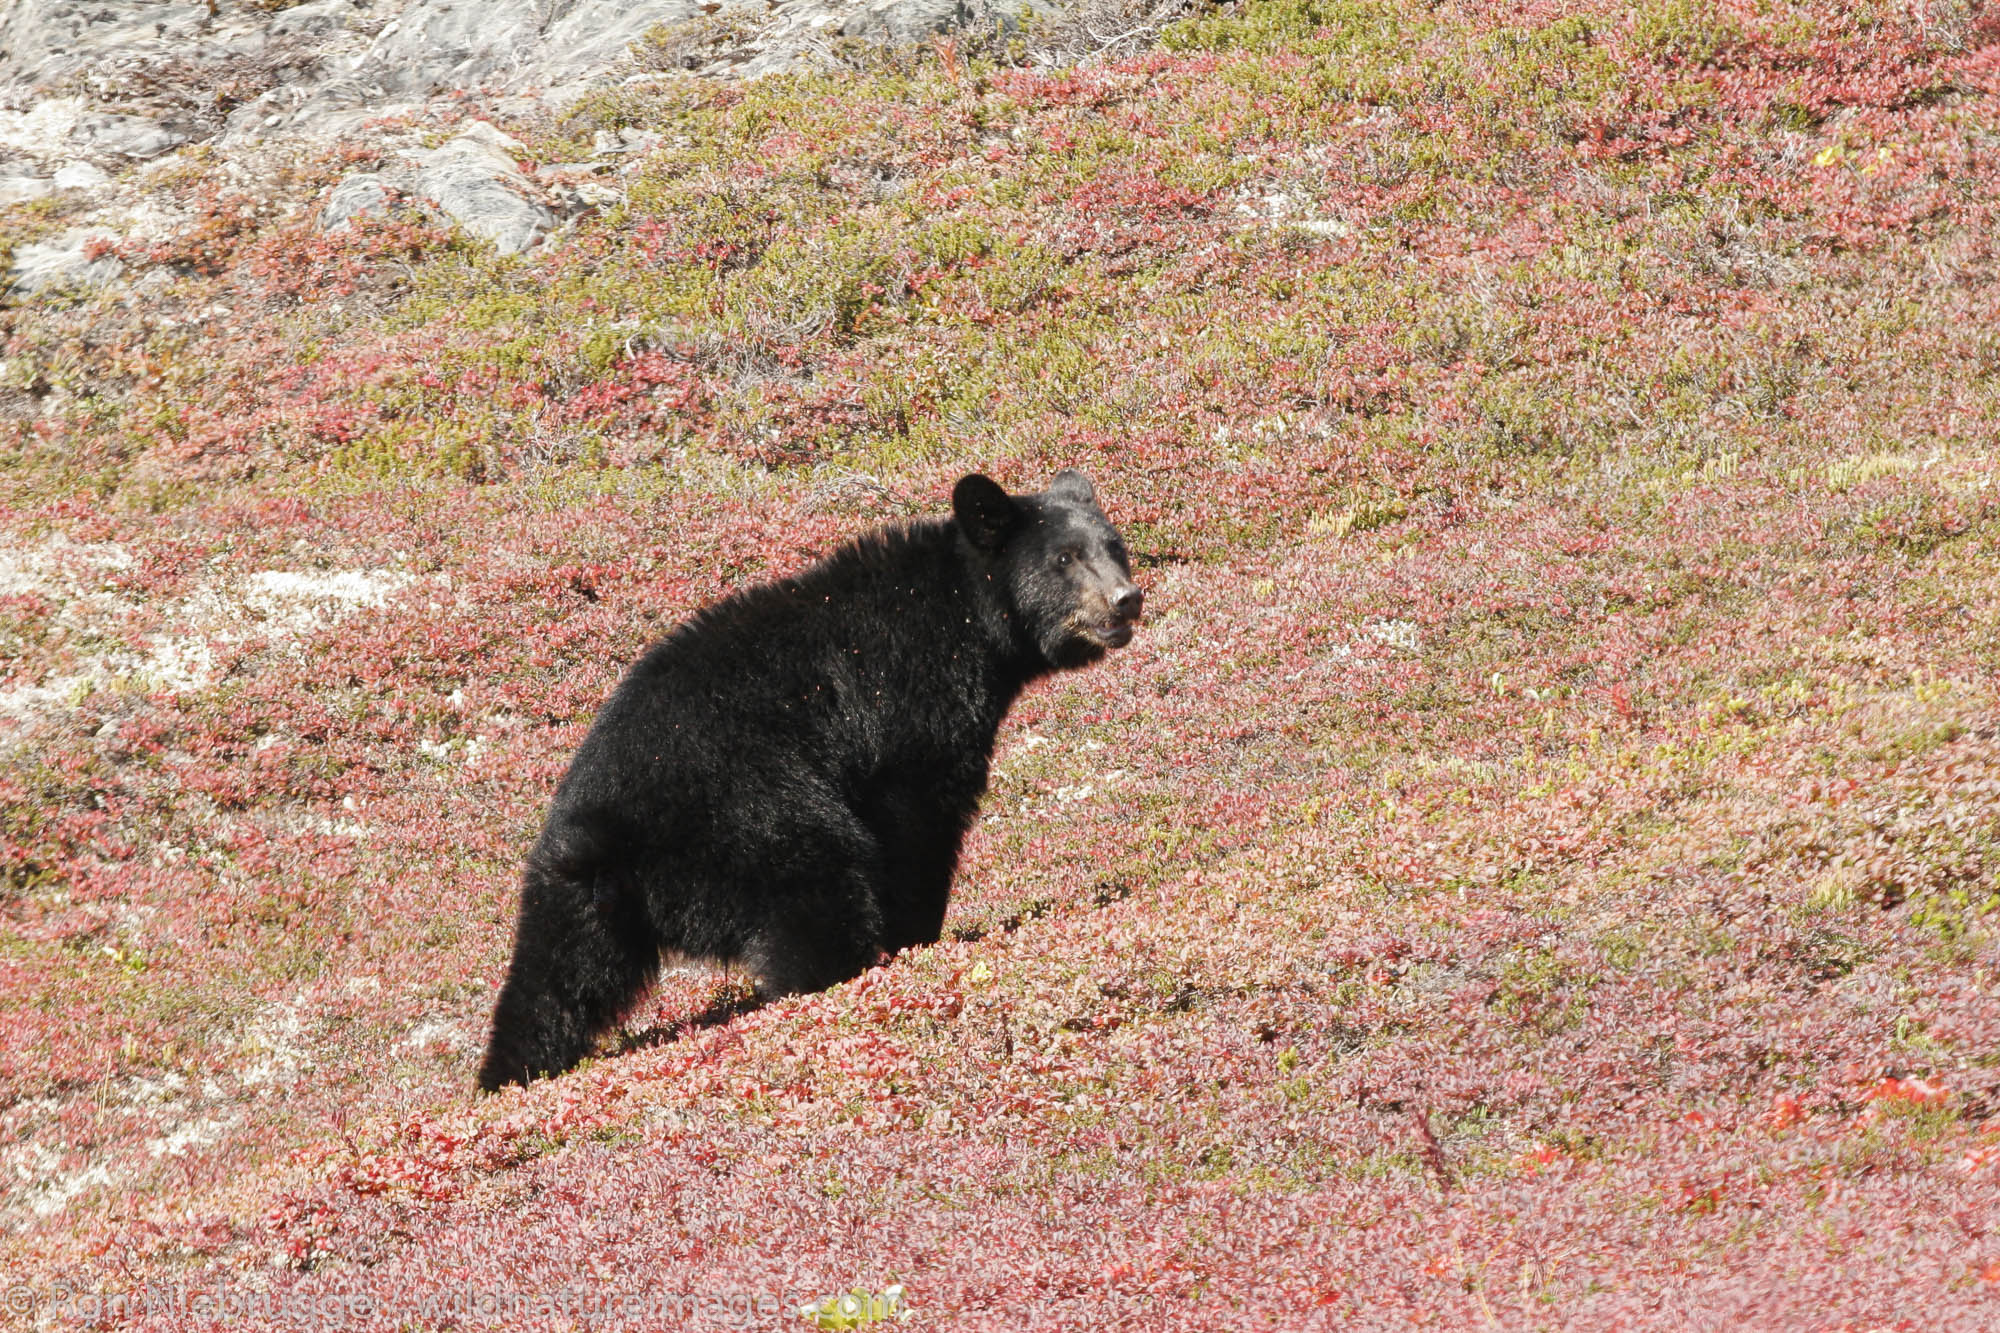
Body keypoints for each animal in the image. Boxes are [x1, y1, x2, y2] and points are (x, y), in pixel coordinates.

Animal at [474, 472, 1152, 1088]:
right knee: (817, 899)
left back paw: (508, 1075)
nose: (1126, 600)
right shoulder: (908, 709)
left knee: (553, 986)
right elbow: (918, 824)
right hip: (752, 822)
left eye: (1114, 545)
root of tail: (603, 834)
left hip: (575, 899)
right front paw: (917, 936)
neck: (966, 620)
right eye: (1064, 559)